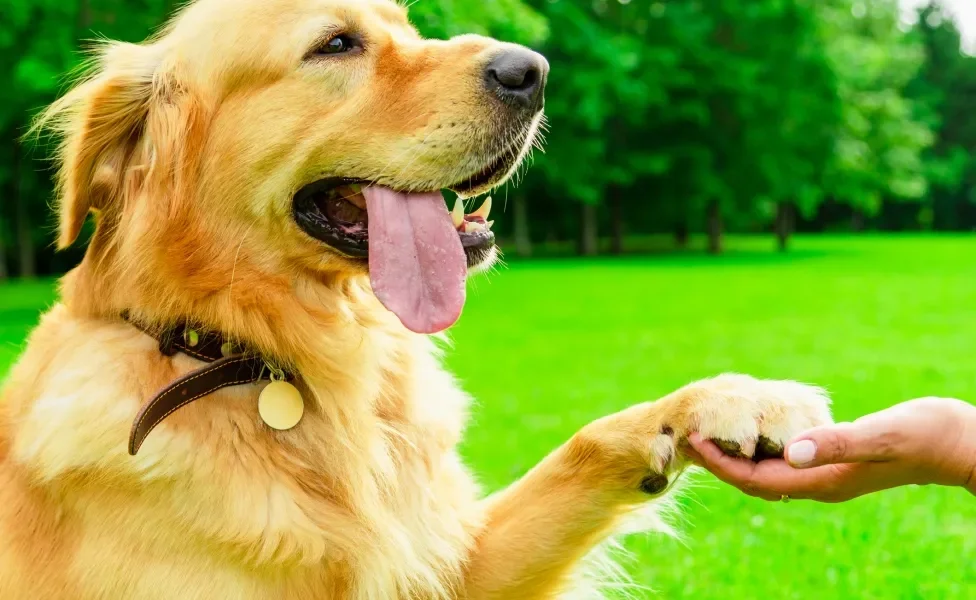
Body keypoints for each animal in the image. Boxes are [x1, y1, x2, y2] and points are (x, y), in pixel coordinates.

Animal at [3, 0, 836, 596]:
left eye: (406, 24)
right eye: (336, 43)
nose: (533, 70)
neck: (266, 359)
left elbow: (587, 442)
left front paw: (734, 399)